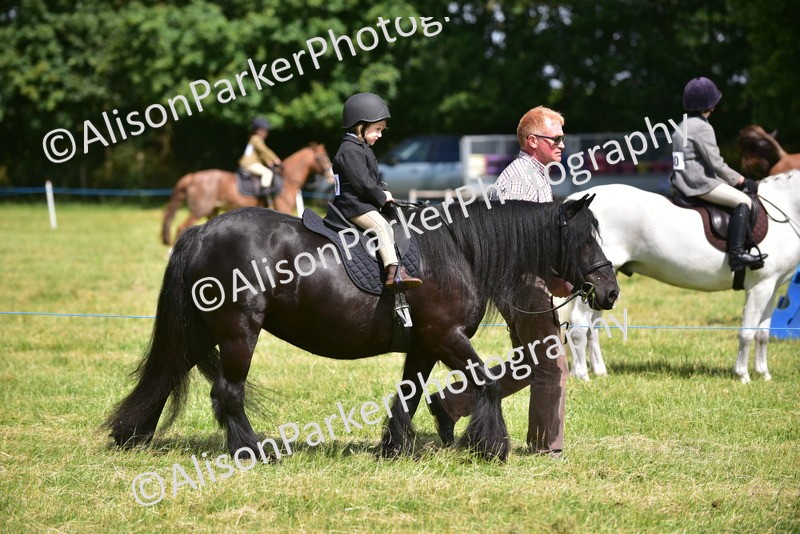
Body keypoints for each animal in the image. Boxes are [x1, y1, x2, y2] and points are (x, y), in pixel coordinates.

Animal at [105, 196, 619, 462]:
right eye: (584, 238)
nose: (610, 290)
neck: (456, 249)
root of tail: (200, 232)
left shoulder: (425, 345)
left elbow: (409, 395)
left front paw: (396, 447)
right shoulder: (447, 337)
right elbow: (487, 382)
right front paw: (490, 446)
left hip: (201, 332)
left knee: (167, 373)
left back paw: (132, 433)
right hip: (237, 332)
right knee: (226, 393)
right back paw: (253, 450)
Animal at [161, 143, 334, 245]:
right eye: (322, 158)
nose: (331, 177)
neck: (286, 179)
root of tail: (192, 176)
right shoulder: (283, 209)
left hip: (212, 211)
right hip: (199, 210)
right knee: (181, 227)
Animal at [563, 170, 800, 384]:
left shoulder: (771, 287)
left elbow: (763, 334)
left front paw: (764, 374)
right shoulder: (760, 287)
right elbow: (747, 332)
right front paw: (743, 375)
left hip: (603, 287)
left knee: (592, 326)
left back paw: (597, 371)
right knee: (579, 324)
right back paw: (582, 375)